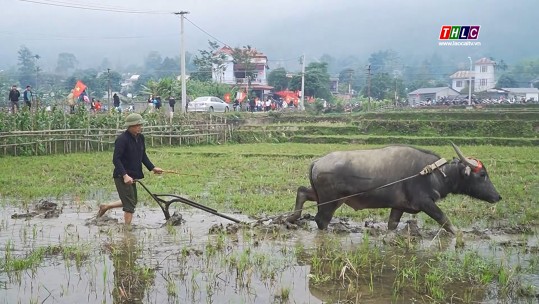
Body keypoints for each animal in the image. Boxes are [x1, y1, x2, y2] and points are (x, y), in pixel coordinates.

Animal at [286, 144, 502, 234]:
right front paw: (460, 238)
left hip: (324, 197)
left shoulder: (398, 207)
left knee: (302, 191)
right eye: (482, 175)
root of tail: (317, 162)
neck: (434, 174)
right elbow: (445, 221)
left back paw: (292, 218)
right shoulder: (426, 203)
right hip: (330, 201)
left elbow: (392, 225)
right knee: (321, 220)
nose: (498, 196)